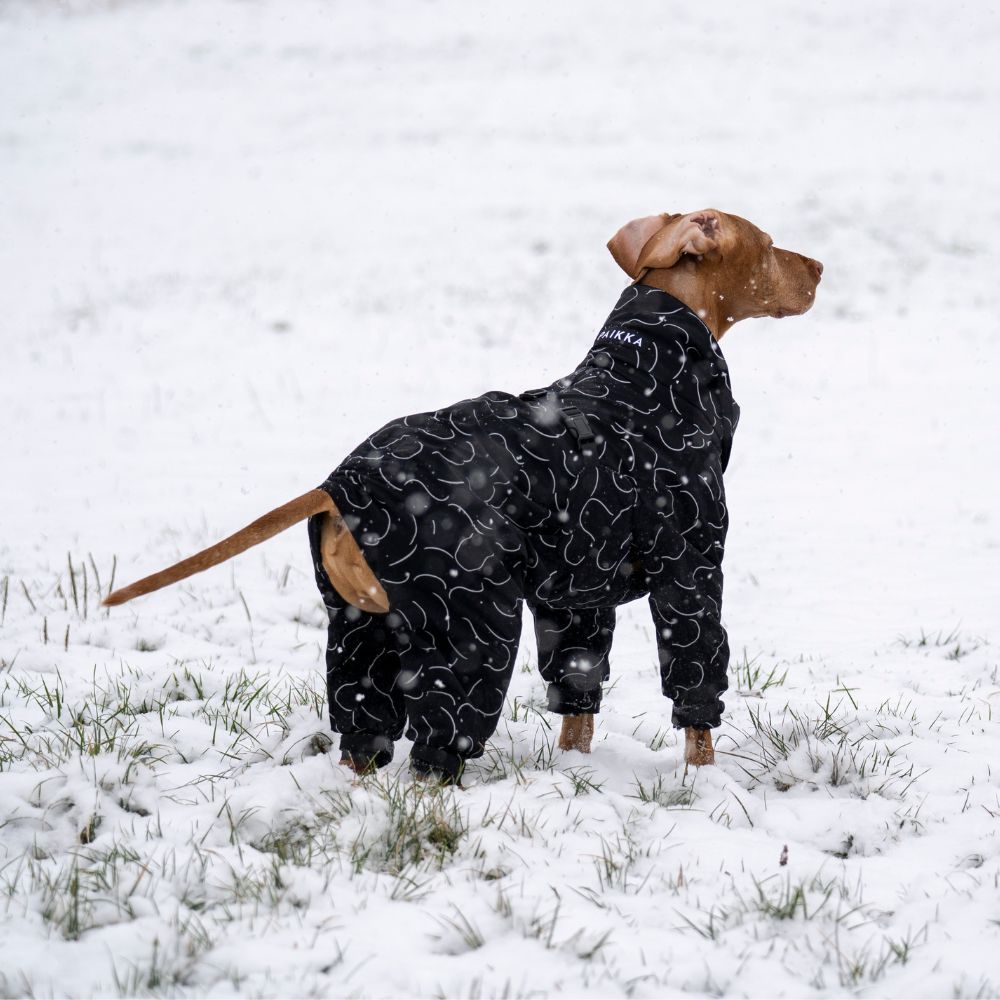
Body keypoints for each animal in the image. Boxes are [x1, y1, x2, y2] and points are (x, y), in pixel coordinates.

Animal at [103, 211, 820, 780]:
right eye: (770, 245)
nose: (819, 265)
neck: (647, 375)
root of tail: (341, 485)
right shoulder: (689, 570)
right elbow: (697, 693)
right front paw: (703, 781)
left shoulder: (577, 596)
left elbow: (577, 699)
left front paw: (577, 774)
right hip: (473, 625)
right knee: (436, 748)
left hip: (360, 635)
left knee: (362, 736)